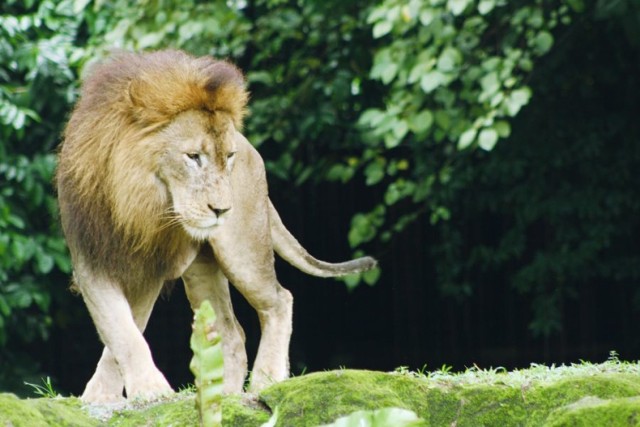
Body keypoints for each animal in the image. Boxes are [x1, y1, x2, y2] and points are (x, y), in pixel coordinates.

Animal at [57, 51, 378, 404]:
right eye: (193, 157)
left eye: (229, 157)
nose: (223, 209)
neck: (132, 202)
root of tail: (252, 147)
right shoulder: (90, 258)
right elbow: (119, 329)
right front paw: (103, 396)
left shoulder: (150, 267)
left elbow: (128, 330)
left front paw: (143, 391)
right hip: (202, 269)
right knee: (231, 332)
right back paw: (221, 397)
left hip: (242, 251)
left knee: (279, 301)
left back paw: (265, 381)